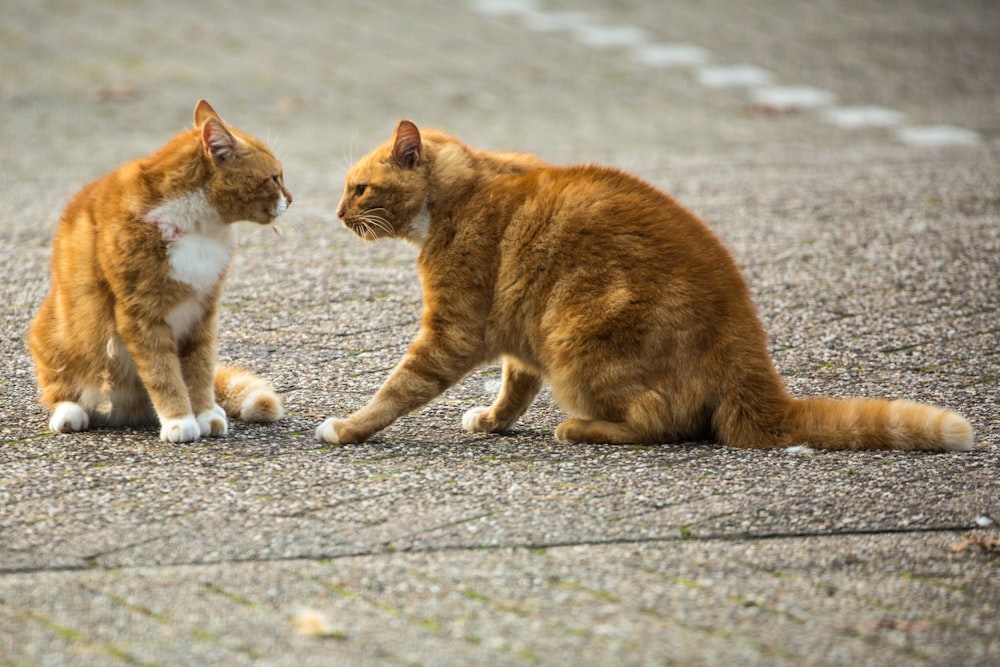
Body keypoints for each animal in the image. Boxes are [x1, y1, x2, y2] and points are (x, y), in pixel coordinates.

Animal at [27, 100, 292, 444]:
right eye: (274, 178)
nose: (291, 199)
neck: (198, 227)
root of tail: (124, 412)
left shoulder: (203, 312)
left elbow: (199, 369)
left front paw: (205, 414)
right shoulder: (142, 315)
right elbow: (164, 373)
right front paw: (180, 419)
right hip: (56, 334)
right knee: (60, 389)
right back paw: (69, 413)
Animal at [316, 122, 972, 452]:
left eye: (359, 189)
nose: (337, 214)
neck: (466, 185)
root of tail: (753, 362)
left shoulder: (453, 331)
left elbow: (398, 389)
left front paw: (349, 428)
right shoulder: (519, 334)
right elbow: (514, 388)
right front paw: (494, 420)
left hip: (578, 349)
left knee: (662, 426)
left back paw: (580, 428)